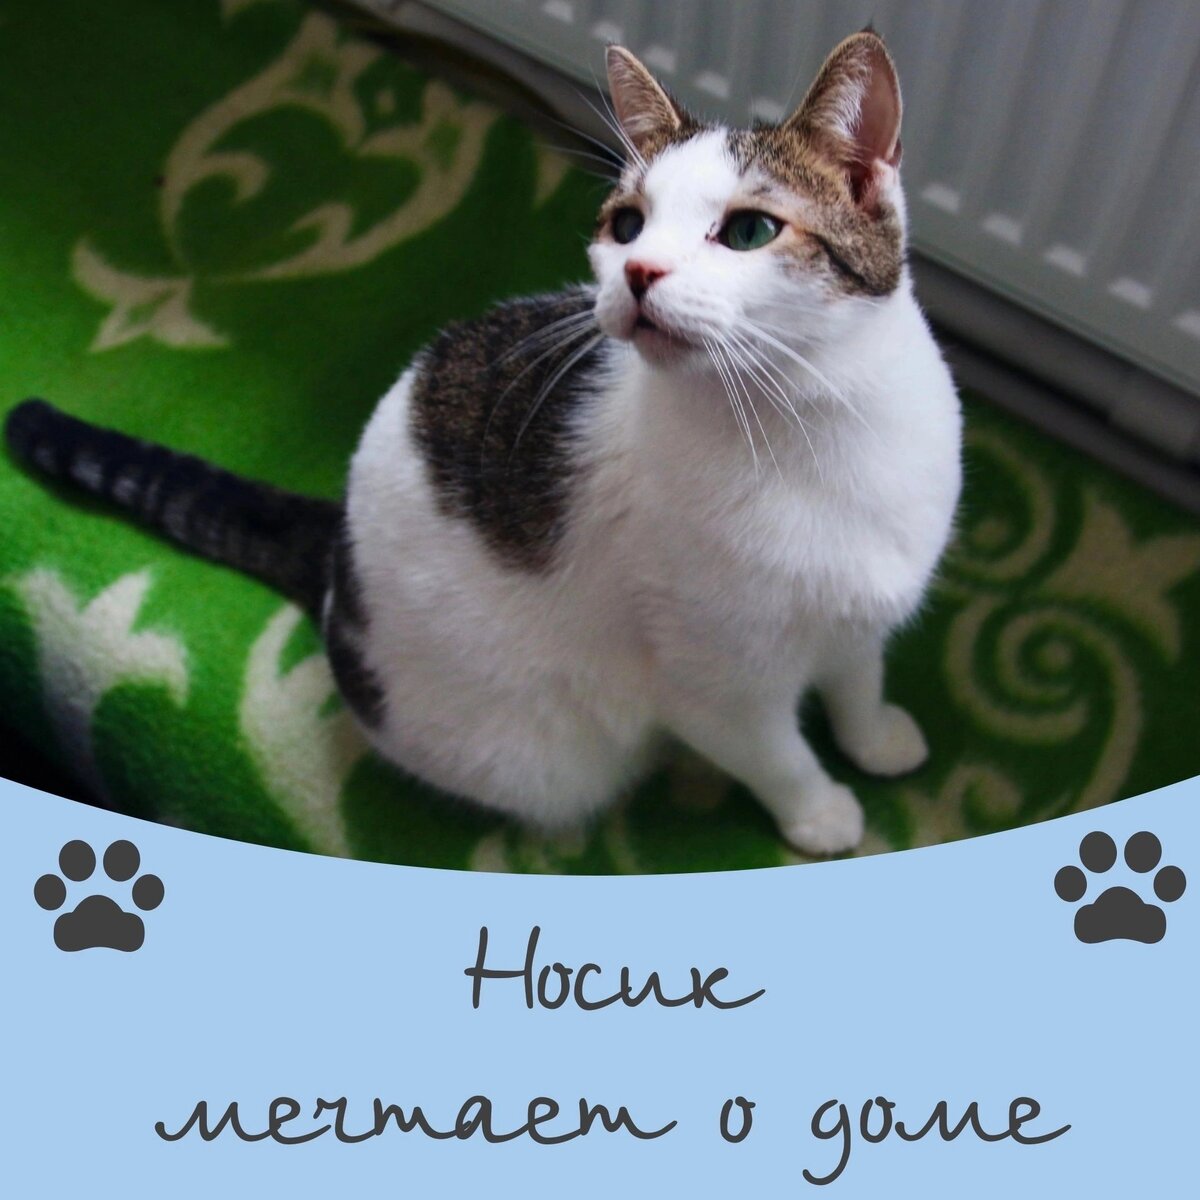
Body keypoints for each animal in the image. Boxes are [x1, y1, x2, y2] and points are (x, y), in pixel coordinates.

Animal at [6, 30, 961, 855]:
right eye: (626, 225)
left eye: (751, 231)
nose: (638, 272)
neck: (817, 424)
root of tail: (335, 554)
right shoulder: (715, 686)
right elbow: (776, 754)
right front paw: (823, 813)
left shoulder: (863, 607)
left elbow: (858, 675)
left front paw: (874, 738)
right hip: (540, 753)